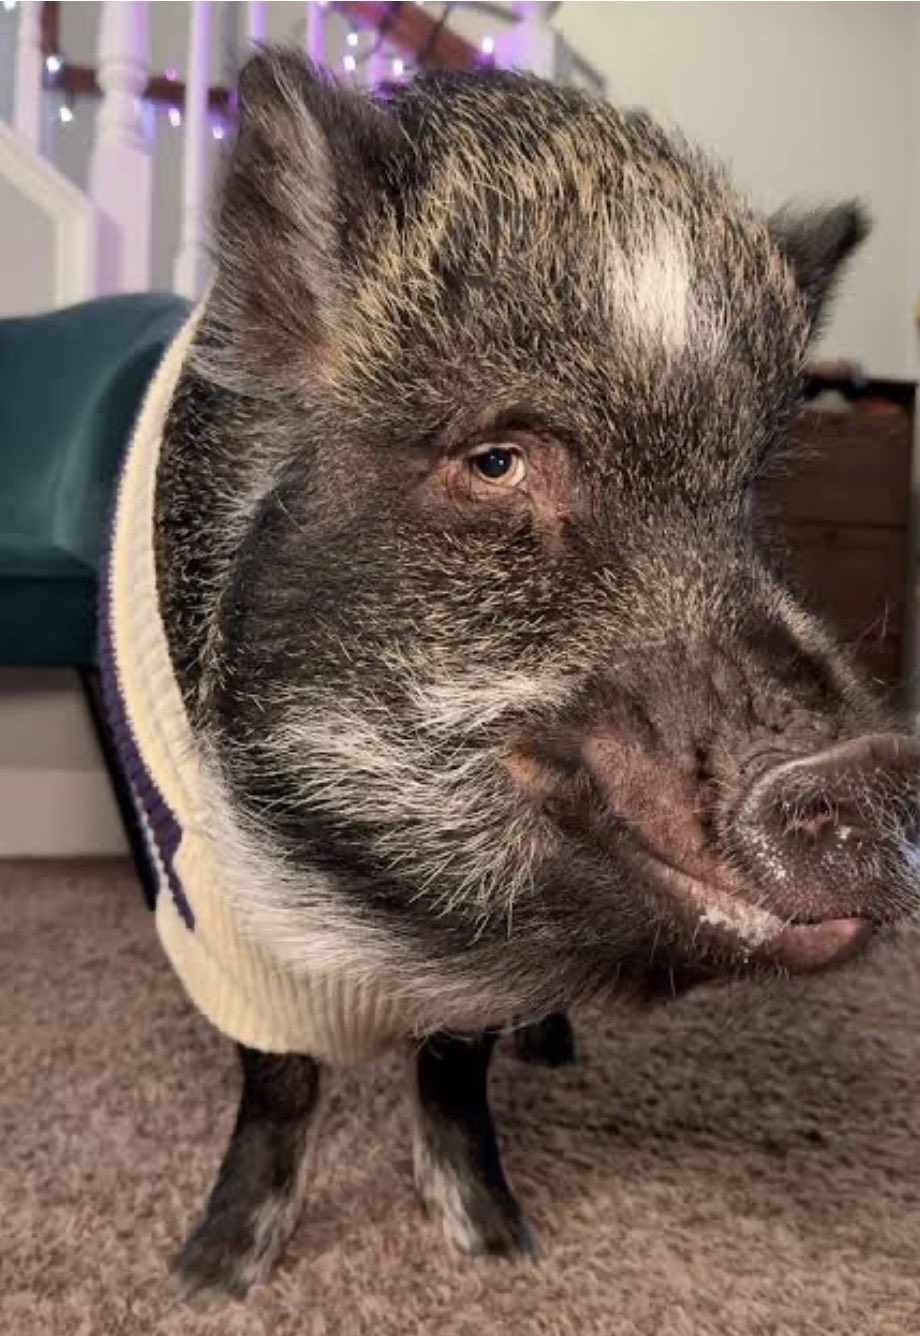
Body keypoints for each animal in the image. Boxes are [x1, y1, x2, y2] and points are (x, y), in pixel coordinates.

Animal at [101, 48, 920, 1301]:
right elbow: (279, 1085)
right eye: (496, 461)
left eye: (747, 497)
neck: (389, 918)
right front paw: (210, 1279)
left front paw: (497, 1247)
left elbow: (453, 1073)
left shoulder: (473, 985)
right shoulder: (211, 908)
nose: (875, 760)